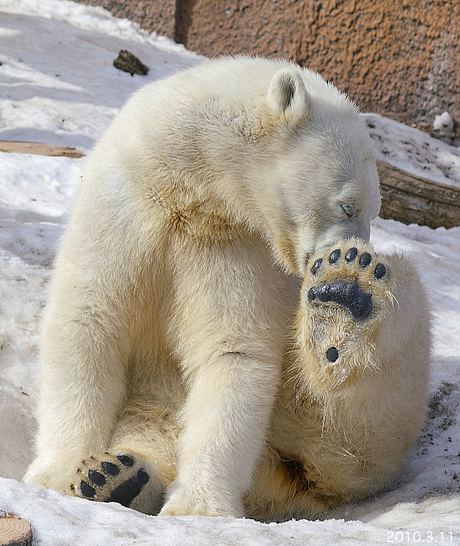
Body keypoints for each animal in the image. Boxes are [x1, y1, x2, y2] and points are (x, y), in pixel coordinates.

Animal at [22, 56, 432, 520]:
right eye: (349, 205)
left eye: (376, 211)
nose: (353, 246)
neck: (189, 185)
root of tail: (286, 482)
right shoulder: (128, 206)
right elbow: (89, 319)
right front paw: (60, 475)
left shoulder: (235, 244)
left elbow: (234, 350)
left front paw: (196, 507)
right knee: (153, 423)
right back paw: (117, 475)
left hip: (332, 424)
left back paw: (345, 295)